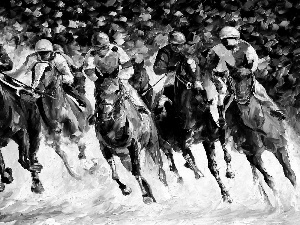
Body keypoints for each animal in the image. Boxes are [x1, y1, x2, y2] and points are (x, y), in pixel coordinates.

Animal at [129, 58, 234, 202]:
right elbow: (192, 162)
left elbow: (215, 164)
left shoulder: (209, 139)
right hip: (164, 146)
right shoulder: (181, 145)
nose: (201, 92)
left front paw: (226, 190)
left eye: (198, 69)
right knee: (173, 164)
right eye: (185, 71)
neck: (189, 116)